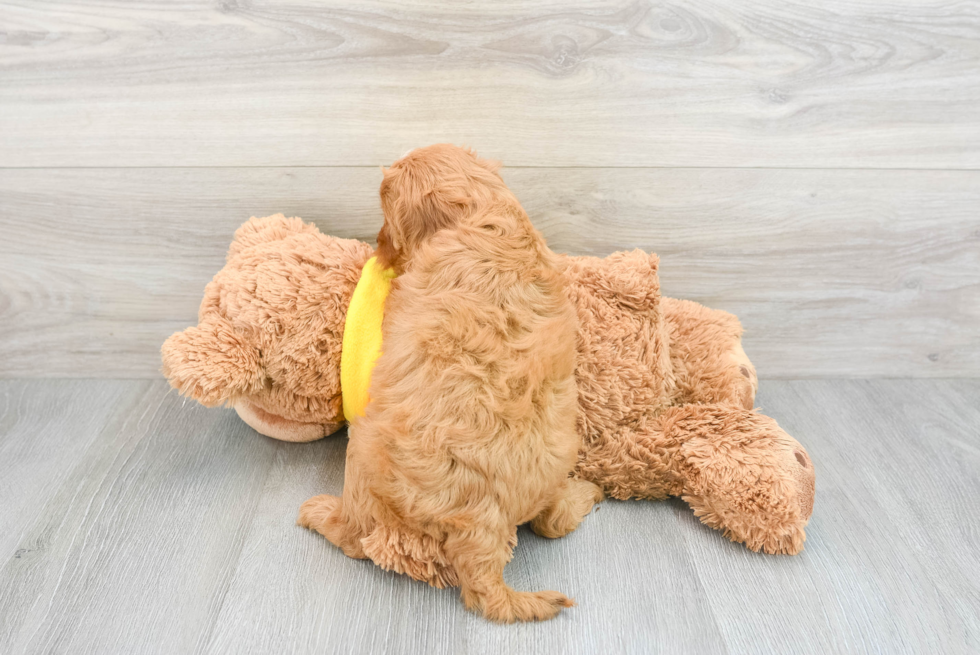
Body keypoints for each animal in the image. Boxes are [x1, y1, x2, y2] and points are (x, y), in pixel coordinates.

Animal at [300, 146, 604, 624]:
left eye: (385, 212)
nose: (377, 247)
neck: (480, 215)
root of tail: (482, 527)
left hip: (364, 453)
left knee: (358, 538)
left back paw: (319, 513)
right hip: (558, 462)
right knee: (552, 521)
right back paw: (587, 492)